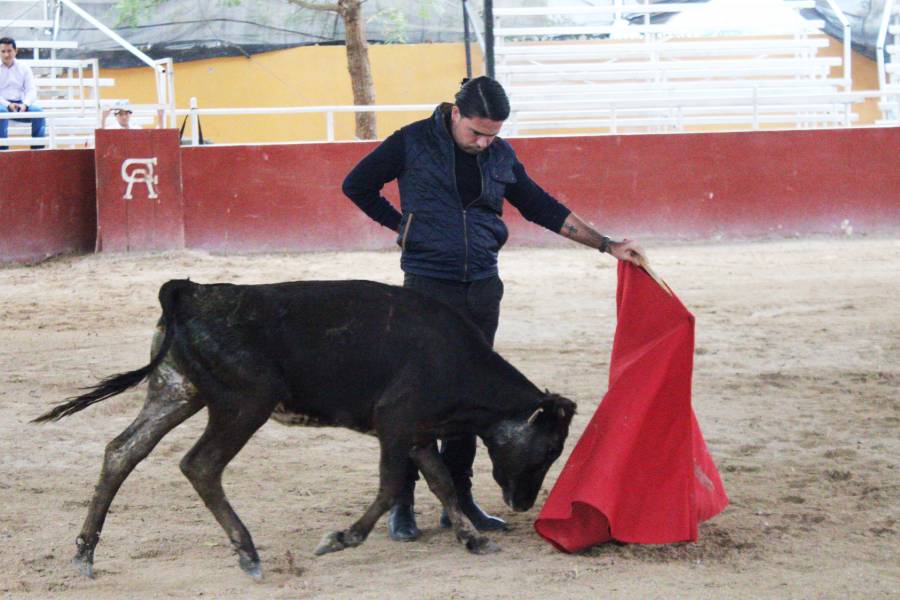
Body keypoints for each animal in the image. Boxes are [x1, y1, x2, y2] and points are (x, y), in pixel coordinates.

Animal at [33, 278, 576, 580]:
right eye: (546, 449)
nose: (522, 503)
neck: (456, 361)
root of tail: (191, 293)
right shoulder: (395, 424)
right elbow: (390, 487)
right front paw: (339, 538)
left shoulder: (417, 433)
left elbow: (440, 482)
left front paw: (474, 539)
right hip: (244, 403)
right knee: (200, 465)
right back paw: (248, 552)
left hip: (175, 390)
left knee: (122, 451)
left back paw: (84, 554)